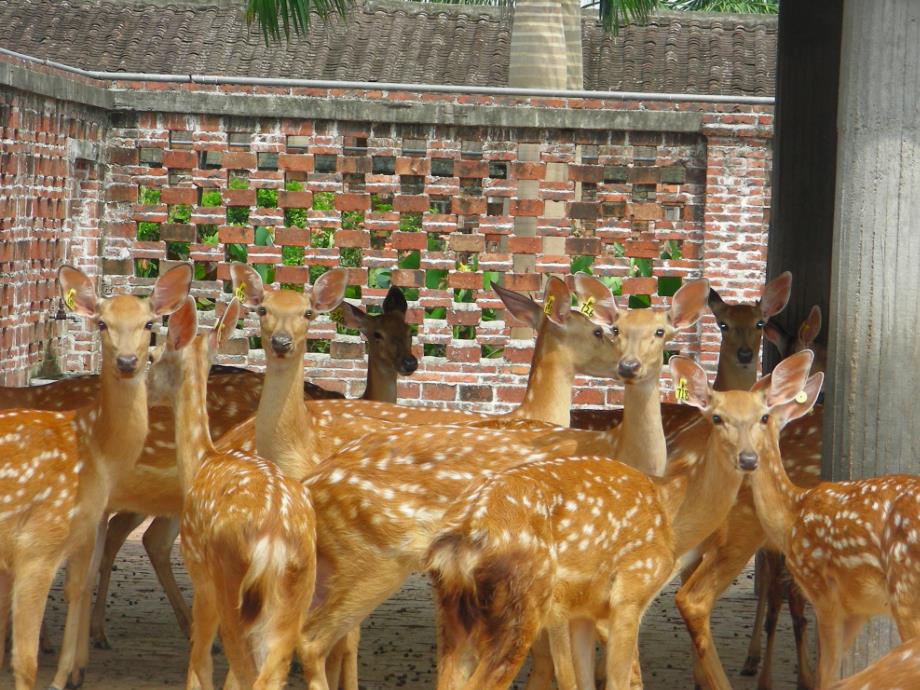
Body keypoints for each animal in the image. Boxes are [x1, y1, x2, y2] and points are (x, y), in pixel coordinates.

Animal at [0, 264, 190, 688]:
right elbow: (25, 661)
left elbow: (76, 587)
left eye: (149, 322)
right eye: (102, 323)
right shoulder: (37, 542)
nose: (127, 361)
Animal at [146, 296, 314, 688]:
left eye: (153, 355)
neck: (201, 460)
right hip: (298, 591)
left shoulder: (197, 568)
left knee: (244, 670)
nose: (142, 387)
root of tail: (274, 539)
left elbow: (199, 664)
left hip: (230, 581)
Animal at [428, 350, 816, 688]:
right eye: (717, 417)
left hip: (454, 614)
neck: (672, 514)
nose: (749, 459)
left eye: (763, 416)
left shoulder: (583, 610)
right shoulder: (630, 590)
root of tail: (461, 539)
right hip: (520, 604)